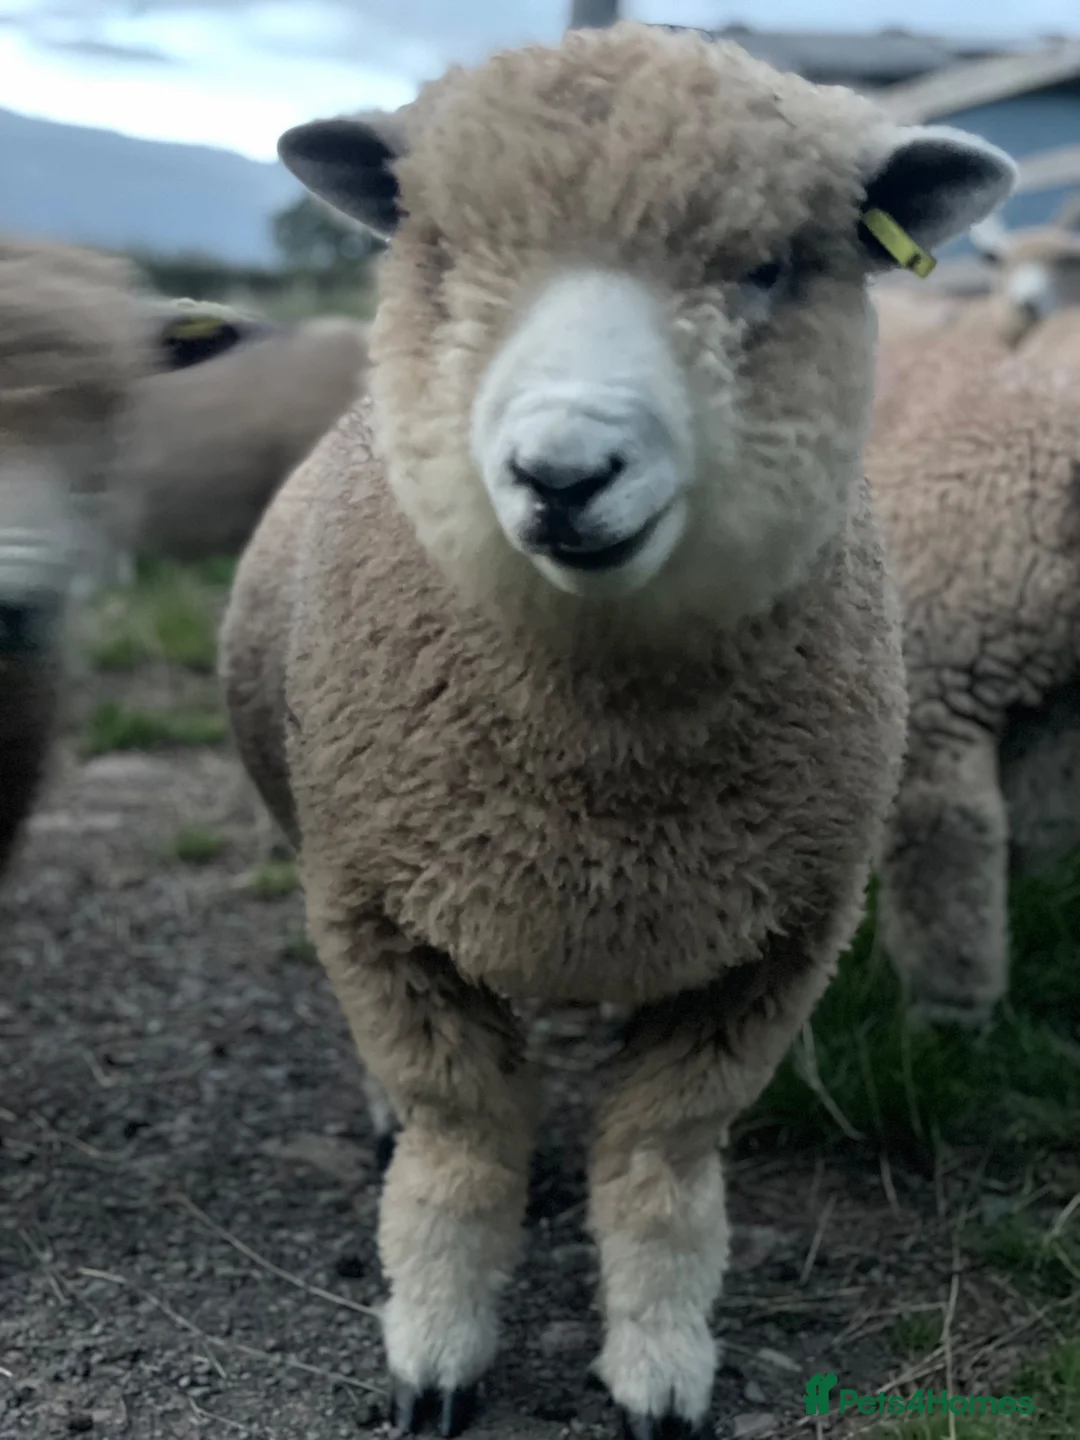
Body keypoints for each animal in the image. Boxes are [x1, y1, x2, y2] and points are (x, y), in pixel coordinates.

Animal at [219, 23, 1014, 1437]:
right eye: (444, 255)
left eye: (767, 267)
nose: (563, 473)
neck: (600, 780)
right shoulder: (380, 914)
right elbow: (462, 1145)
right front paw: (437, 1348)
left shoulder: (771, 949)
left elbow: (658, 1165)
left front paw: (660, 1360)